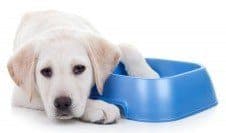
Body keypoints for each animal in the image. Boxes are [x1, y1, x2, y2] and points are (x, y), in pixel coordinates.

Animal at [7, 10, 159, 123]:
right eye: (45, 71)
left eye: (79, 68)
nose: (62, 103)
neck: (58, 25)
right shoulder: (22, 94)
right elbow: (44, 99)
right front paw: (98, 107)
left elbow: (127, 47)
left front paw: (147, 75)